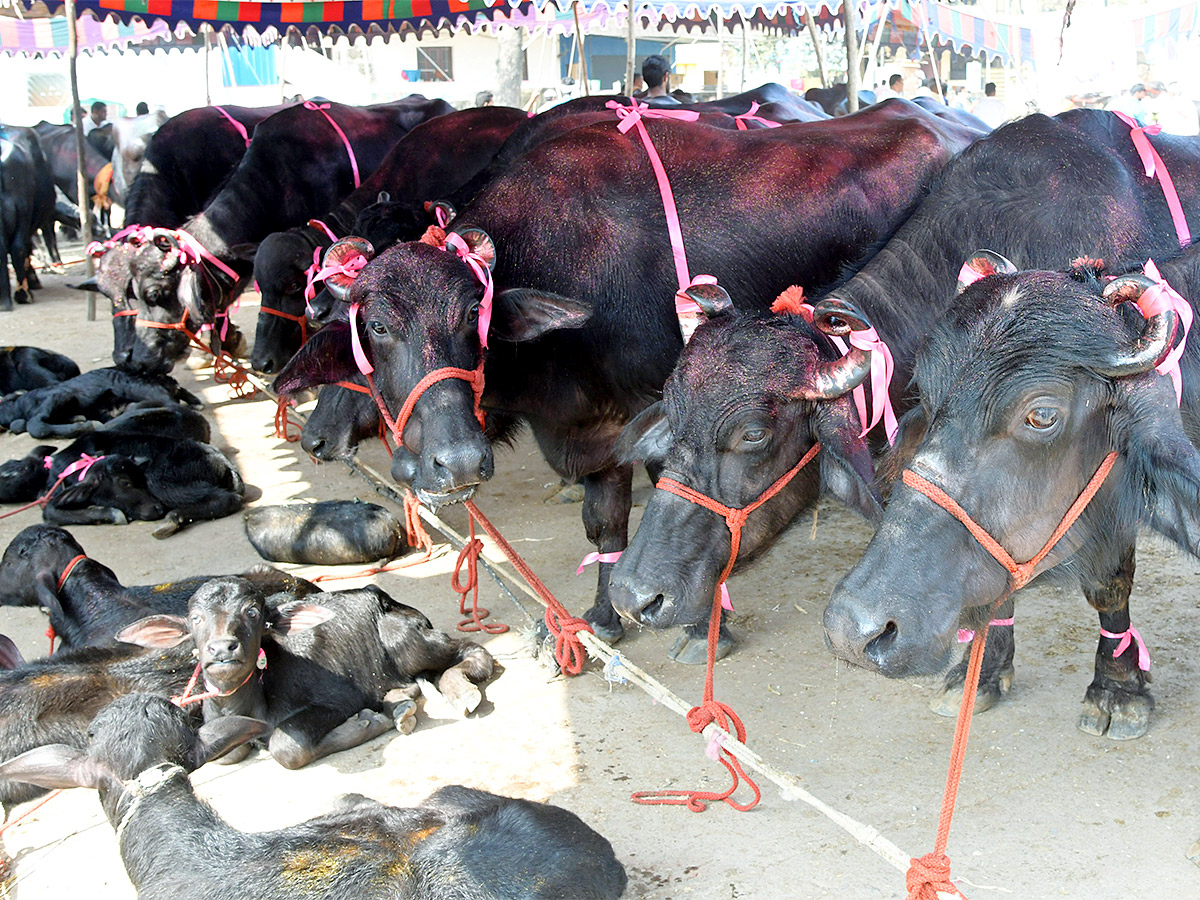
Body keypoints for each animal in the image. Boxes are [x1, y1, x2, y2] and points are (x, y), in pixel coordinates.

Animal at [0, 429, 243, 535]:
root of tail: (221, 460)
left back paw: (172, 518)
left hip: (162, 482)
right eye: (126, 483)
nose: (157, 508)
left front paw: (111, 514)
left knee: (226, 499)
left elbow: (49, 511)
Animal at [119, 580, 494, 772]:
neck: (247, 704)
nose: (223, 648)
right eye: (196, 619)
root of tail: (383, 597)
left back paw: (460, 691)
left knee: (472, 652)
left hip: (406, 640)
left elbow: (286, 745)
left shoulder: (337, 701)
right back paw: (400, 704)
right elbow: (227, 754)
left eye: (252, 613)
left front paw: (366, 724)